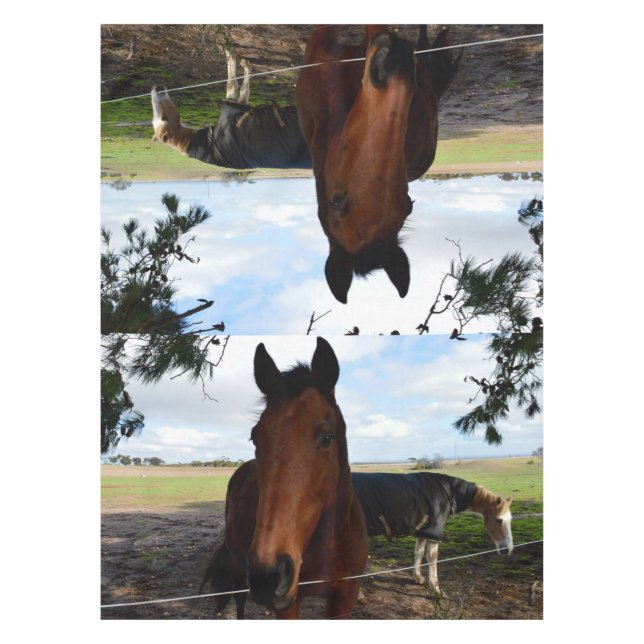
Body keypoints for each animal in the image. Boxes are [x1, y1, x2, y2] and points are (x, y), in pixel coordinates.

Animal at [150, 51, 311, 170]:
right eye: (163, 118)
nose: (157, 87)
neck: (194, 142)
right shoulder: (232, 103)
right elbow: (234, 83)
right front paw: (234, 58)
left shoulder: (239, 104)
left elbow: (241, 86)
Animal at [200, 338, 368, 619]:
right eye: (255, 438)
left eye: (327, 437)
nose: (268, 575)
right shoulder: (288, 605)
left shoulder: (344, 598)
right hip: (239, 566)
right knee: (239, 600)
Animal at [350, 471, 513, 593]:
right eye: (499, 520)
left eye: (510, 519)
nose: (508, 549)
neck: (450, 491)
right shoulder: (433, 533)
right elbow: (432, 558)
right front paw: (435, 587)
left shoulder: (423, 531)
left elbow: (419, 552)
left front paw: (418, 578)